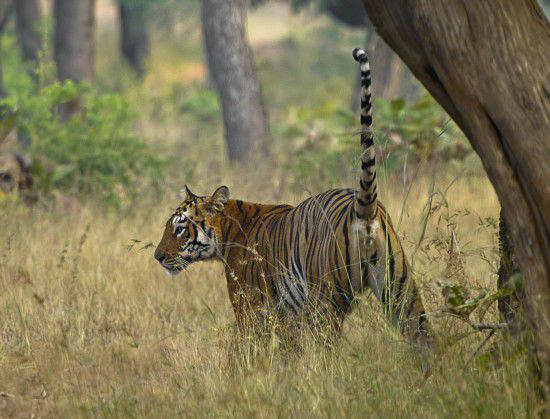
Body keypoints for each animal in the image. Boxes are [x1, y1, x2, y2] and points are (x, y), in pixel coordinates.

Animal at [155, 48, 436, 352]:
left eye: (179, 229)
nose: (158, 257)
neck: (228, 234)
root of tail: (364, 207)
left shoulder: (249, 309)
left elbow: (245, 352)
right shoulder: (288, 316)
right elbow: (290, 353)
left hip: (325, 303)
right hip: (401, 293)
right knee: (426, 338)